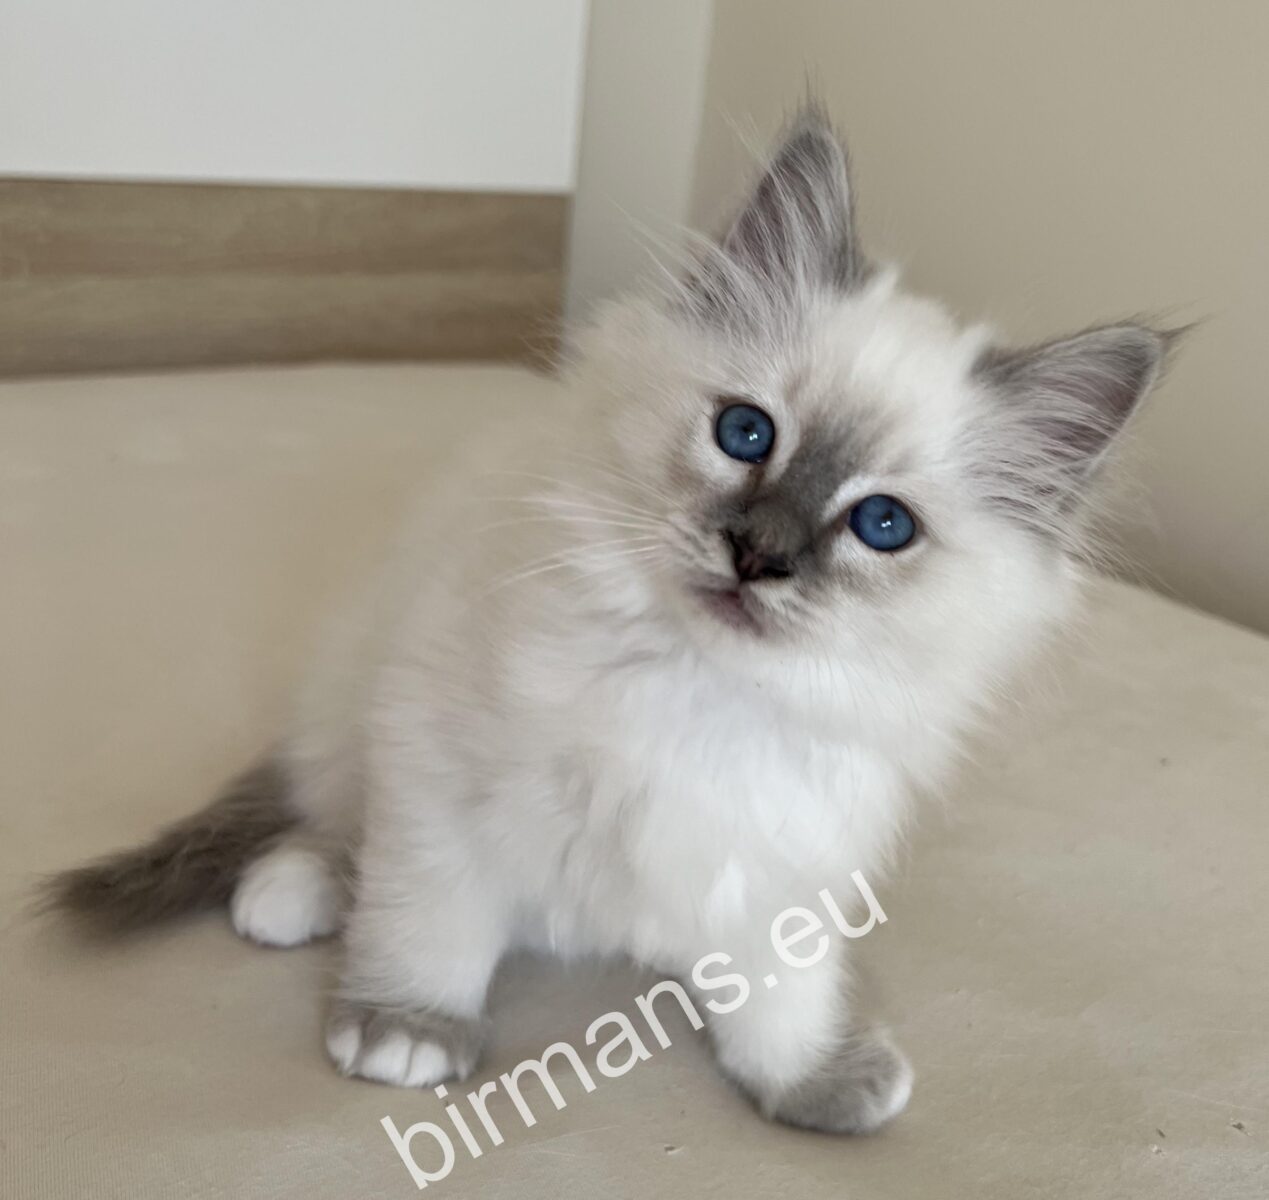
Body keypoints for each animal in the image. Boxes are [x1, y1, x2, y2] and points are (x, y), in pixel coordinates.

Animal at [46, 106, 1177, 1135]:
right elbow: (430, 919)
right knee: (330, 817)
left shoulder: (777, 866)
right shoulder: (443, 779)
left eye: (882, 525)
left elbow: (781, 1001)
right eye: (745, 433)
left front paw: (816, 1079)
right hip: (358, 697)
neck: (698, 691)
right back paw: (293, 893)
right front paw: (407, 1028)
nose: (758, 556)